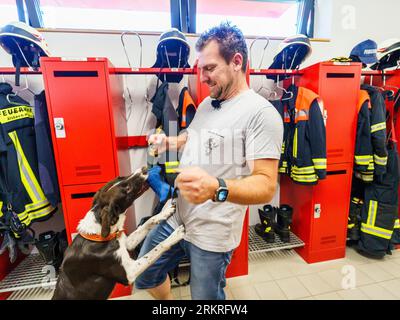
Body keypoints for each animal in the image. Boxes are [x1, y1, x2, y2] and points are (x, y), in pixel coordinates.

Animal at [52, 166, 185, 302]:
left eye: (120, 177)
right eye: (127, 189)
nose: (144, 169)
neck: (99, 234)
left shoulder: (126, 243)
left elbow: (147, 222)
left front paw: (164, 212)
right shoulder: (130, 273)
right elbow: (156, 249)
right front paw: (175, 235)